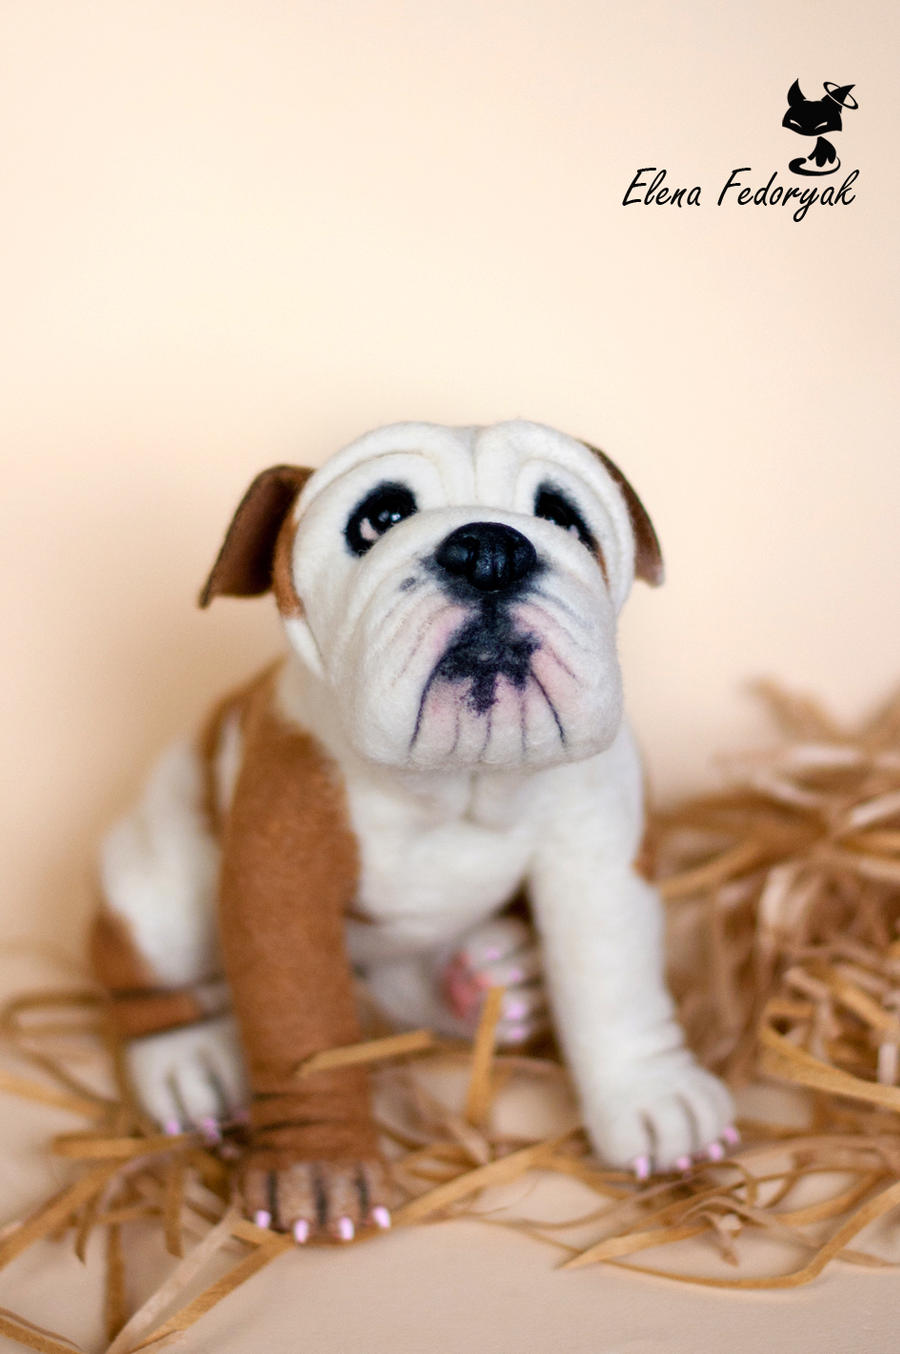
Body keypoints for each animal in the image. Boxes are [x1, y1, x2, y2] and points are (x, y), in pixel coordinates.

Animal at [92, 417, 736, 1240]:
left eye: (562, 516)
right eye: (380, 517)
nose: (490, 548)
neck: (459, 780)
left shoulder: (600, 863)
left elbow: (614, 983)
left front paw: (651, 1091)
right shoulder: (280, 893)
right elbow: (304, 1034)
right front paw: (320, 1164)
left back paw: (486, 982)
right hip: (161, 896)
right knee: (140, 981)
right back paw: (186, 1060)